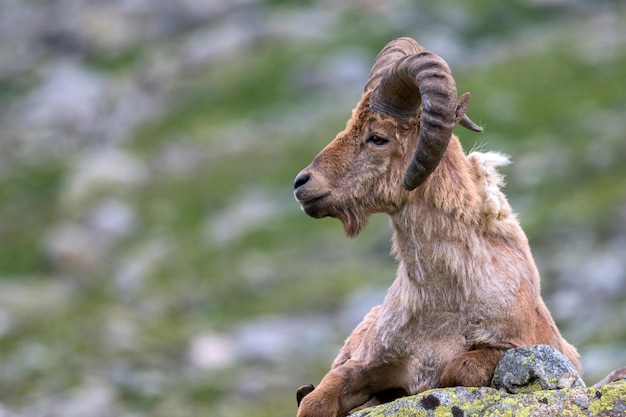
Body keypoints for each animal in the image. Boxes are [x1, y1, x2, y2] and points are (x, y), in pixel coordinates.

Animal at [292, 37, 580, 414]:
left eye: (378, 137)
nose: (302, 183)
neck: (440, 302)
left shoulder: (516, 345)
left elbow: (458, 369)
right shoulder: (364, 362)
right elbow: (318, 398)